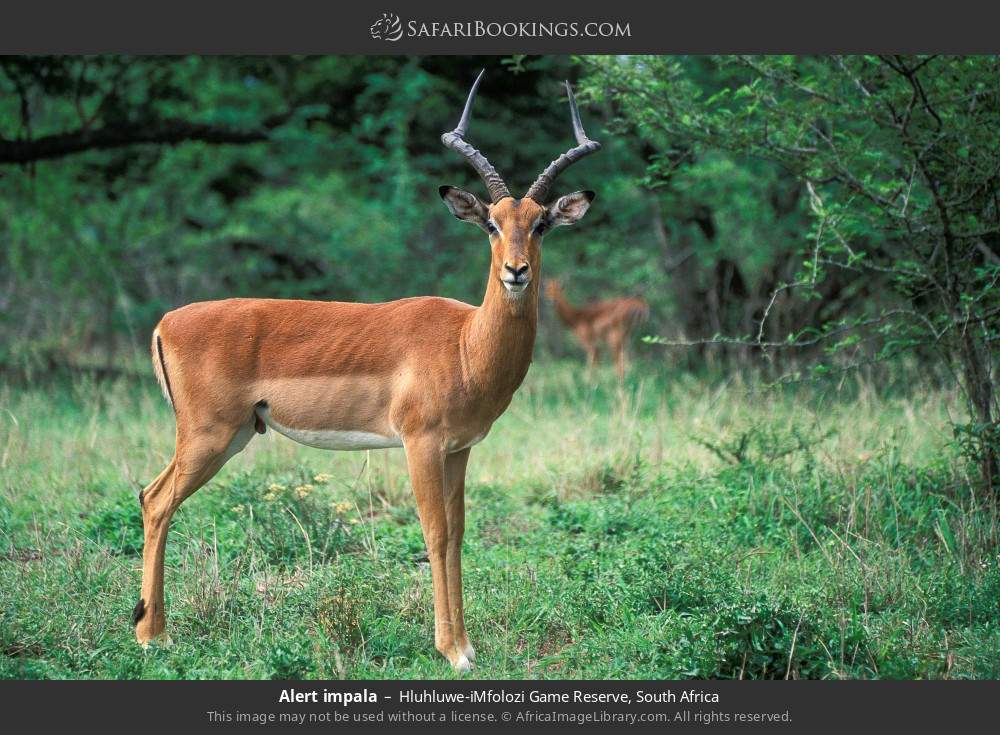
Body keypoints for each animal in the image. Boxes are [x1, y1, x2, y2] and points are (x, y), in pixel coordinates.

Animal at [132, 71, 600, 672]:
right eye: (493, 225)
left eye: (541, 224)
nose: (516, 272)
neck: (466, 344)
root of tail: (166, 322)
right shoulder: (420, 444)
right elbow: (435, 533)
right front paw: (454, 652)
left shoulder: (459, 449)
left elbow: (458, 535)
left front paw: (468, 645)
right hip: (207, 435)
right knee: (155, 501)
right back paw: (153, 637)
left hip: (233, 434)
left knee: (151, 497)